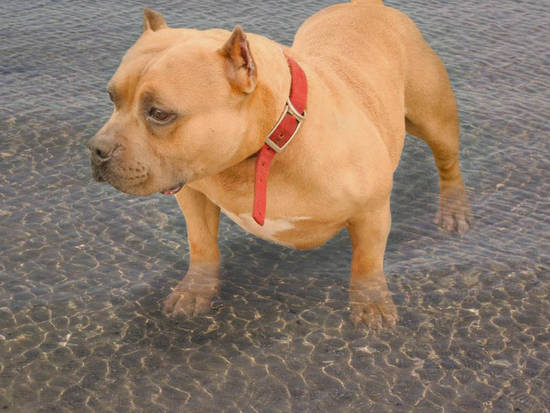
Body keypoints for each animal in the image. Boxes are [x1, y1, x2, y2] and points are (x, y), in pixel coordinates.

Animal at [89, 0, 474, 328]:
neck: (267, 146)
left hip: (434, 118)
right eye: (111, 97)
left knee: (448, 162)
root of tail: (367, 6)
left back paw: (454, 209)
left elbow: (367, 263)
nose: (96, 149)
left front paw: (371, 302)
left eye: (159, 114)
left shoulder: (372, 211)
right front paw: (196, 290)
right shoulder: (193, 193)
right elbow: (202, 246)